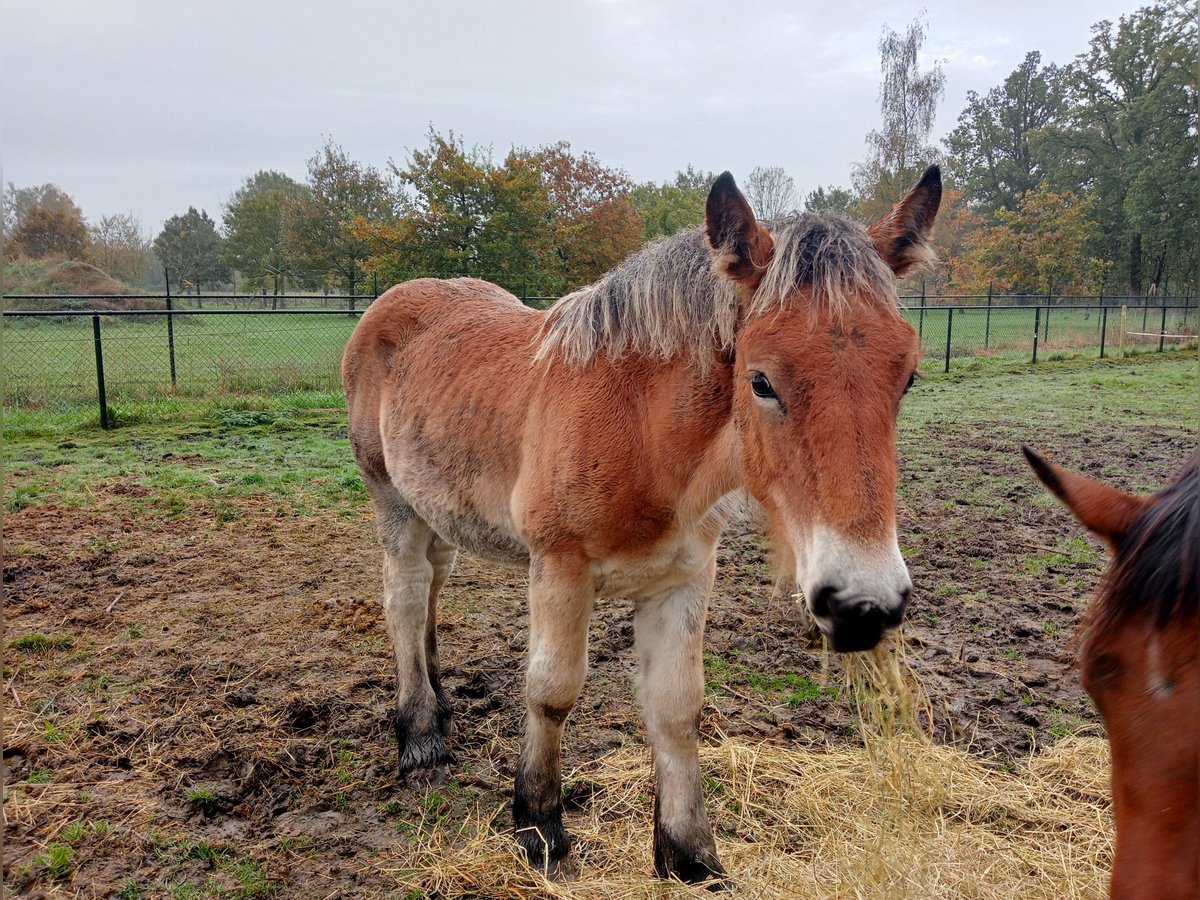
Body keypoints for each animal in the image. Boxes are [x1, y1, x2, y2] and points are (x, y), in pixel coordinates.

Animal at [343, 169, 940, 888]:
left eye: (908, 376)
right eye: (760, 380)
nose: (864, 606)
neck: (642, 433)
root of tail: (391, 302)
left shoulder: (684, 578)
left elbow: (676, 707)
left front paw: (690, 856)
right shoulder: (559, 568)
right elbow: (551, 692)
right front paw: (540, 829)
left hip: (438, 508)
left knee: (432, 584)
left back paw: (439, 702)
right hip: (392, 501)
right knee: (404, 596)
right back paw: (420, 732)